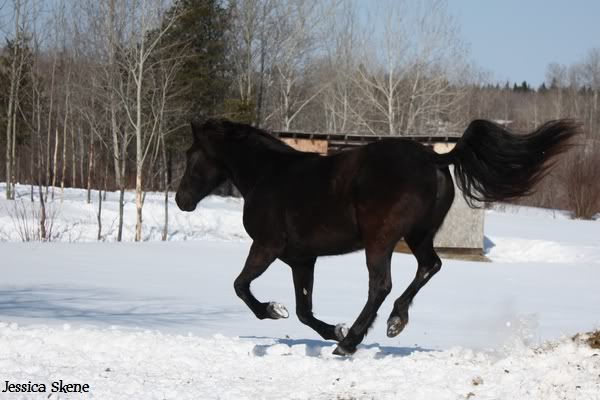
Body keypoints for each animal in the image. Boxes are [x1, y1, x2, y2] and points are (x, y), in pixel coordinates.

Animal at [176, 119, 580, 356]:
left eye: (190, 155)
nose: (181, 200)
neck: (268, 176)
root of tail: (434, 159)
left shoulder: (267, 247)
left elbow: (241, 286)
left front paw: (274, 311)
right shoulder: (301, 259)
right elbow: (304, 311)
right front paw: (330, 329)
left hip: (380, 239)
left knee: (381, 285)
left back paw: (352, 342)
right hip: (418, 235)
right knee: (429, 266)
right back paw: (393, 322)